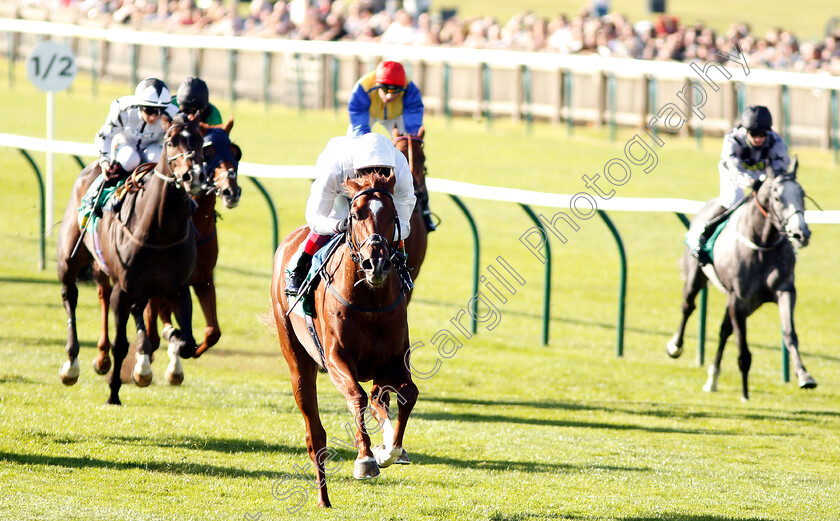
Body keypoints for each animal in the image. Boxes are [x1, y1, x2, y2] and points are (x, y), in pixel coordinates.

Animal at [56, 115, 206, 406]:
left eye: (200, 139)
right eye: (170, 141)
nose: (193, 175)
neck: (160, 231)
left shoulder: (178, 289)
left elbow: (186, 342)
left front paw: (161, 354)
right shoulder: (122, 290)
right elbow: (120, 344)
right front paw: (113, 393)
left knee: (138, 309)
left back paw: (143, 365)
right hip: (69, 259)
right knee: (70, 298)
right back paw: (71, 365)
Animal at [144, 125, 241, 382]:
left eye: (235, 151)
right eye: (208, 151)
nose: (231, 191)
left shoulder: (203, 278)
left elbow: (213, 332)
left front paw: (185, 348)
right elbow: (152, 328)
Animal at [270, 173, 418, 506]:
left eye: (393, 214)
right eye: (355, 214)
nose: (376, 264)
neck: (371, 302)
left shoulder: (394, 360)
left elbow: (407, 395)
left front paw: (389, 450)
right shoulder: (336, 358)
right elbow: (358, 397)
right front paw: (366, 459)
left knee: (378, 398)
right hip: (297, 360)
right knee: (315, 435)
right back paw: (323, 498)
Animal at [668, 160, 812, 400]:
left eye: (802, 194)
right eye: (776, 196)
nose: (801, 233)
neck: (762, 244)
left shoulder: (784, 290)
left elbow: (789, 333)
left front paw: (804, 376)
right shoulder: (739, 299)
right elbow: (742, 347)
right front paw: (745, 393)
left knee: (724, 330)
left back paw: (712, 378)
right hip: (697, 277)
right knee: (688, 306)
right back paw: (675, 346)